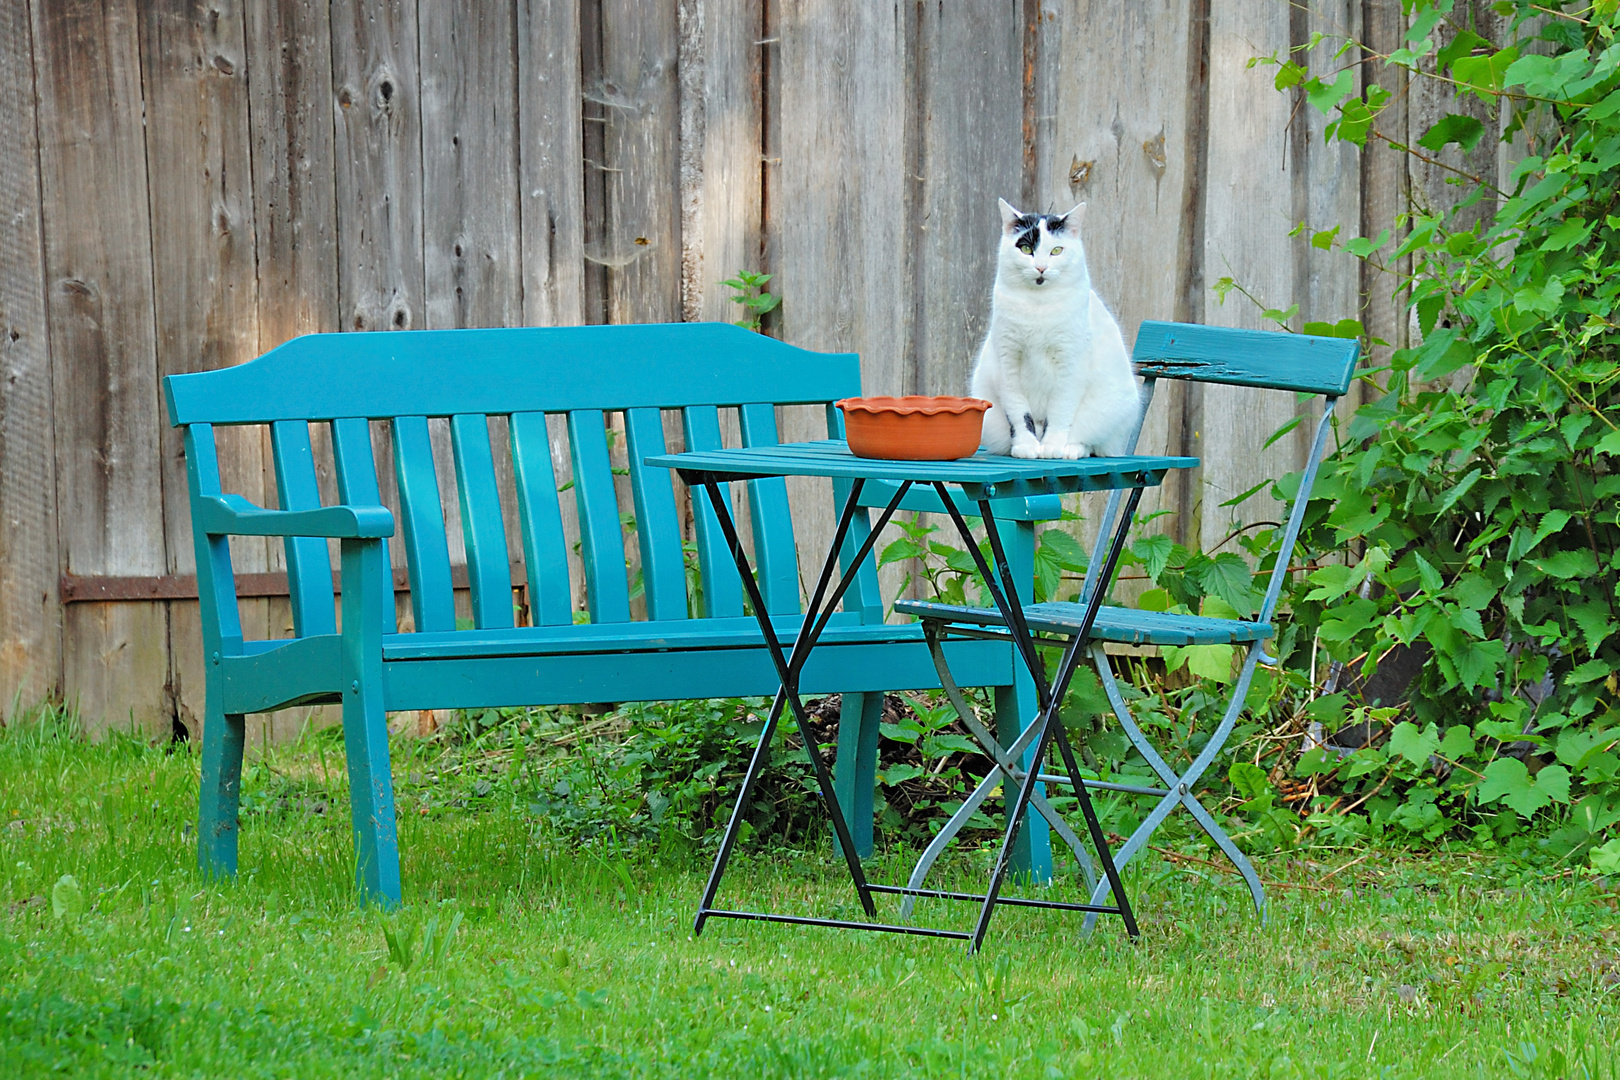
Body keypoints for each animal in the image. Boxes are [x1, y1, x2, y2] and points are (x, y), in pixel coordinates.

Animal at [965, 200, 1146, 459]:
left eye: (1057, 251)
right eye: (1026, 249)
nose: (1041, 268)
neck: (1039, 307)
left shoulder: (1069, 364)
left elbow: (1061, 411)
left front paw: (1052, 446)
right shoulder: (1008, 363)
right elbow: (1019, 413)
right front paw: (1026, 446)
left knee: (1091, 443)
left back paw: (1070, 448)